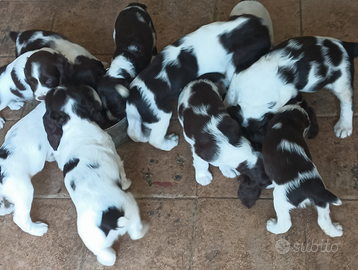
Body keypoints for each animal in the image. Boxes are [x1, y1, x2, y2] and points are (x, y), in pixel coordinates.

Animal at [43, 85, 148, 266]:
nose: (55, 86)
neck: (73, 120)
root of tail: (108, 221)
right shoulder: (114, 154)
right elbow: (122, 173)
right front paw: (127, 182)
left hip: (94, 241)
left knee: (109, 257)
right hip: (130, 206)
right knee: (136, 233)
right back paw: (144, 229)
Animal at [225, 35, 358, 139]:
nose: (247, 136)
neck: (256, 92)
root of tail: (344, 45)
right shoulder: (238, 76)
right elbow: (231, 94)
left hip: (341, 82)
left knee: (347, 102)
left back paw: (344, 126)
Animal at [262, 104, 342, 237]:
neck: (285, 123)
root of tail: (309, 187)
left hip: (280, 199)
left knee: (285, 223)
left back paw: (271, 226)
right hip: (321, 199)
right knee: (323, 220)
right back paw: (337, 231)